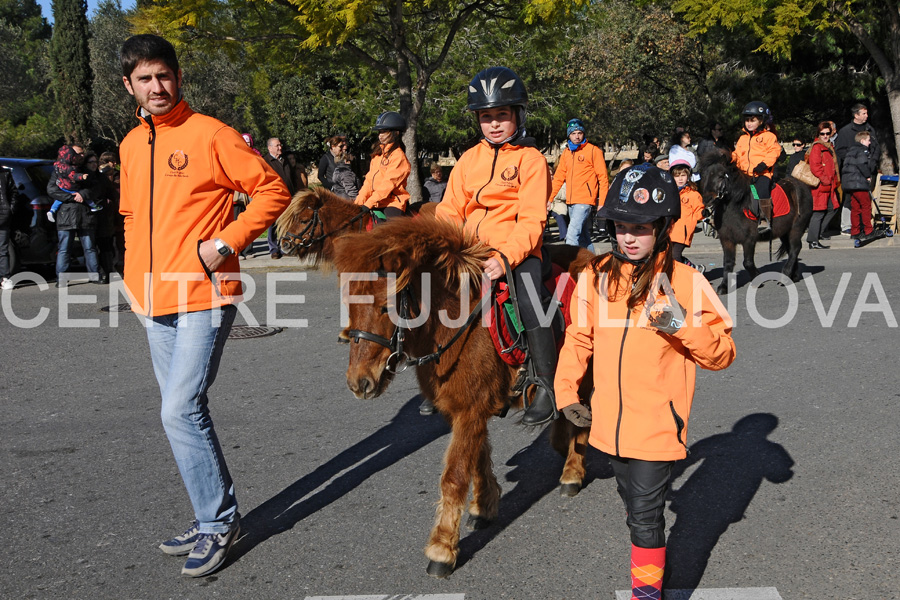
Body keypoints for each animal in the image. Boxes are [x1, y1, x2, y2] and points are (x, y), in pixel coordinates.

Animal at [330, 214, 592, 576]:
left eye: (385, 307)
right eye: (350, 305)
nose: (359, 383)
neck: (454, 326)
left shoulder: (470, 410)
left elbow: (454, 476)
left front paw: (441, 549)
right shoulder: (467, 410)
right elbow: (477, 459)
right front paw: (484, 506)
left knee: (582, 420)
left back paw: (572, 473)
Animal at [696, 152, 816, 296]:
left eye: (720, 175)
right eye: (705, 175)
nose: (707, 200)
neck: (736, 206)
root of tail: (803, 187)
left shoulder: (749, 239)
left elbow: (747, 262)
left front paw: (757, 279)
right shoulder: (727, 240)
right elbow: (728, 263)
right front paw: (724, 286)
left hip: (796, 228)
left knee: (795, 248)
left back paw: (785, 277)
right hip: (784, 232)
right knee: (791, 249)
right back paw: (794, 276)